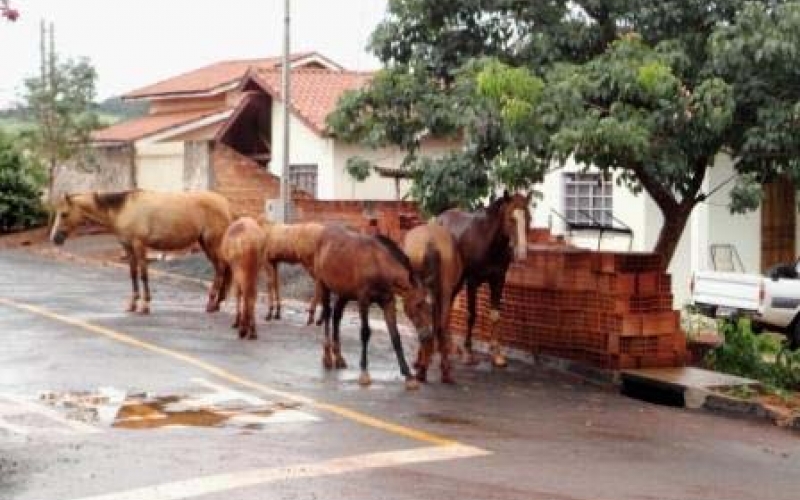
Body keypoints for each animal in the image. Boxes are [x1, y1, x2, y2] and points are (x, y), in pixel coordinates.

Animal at [50, 189, 231, 314]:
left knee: (221, 269)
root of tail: (224, 203)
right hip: (205, 244)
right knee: (221, 270)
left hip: (212, 243)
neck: (123, 210)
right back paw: (216, 303)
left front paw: (145, 305)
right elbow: (133, 274)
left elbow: (143, 274)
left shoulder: (139, 245)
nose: (54, 238)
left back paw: (211, 304)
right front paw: (132, 304)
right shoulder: (128, 248)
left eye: (64, 214)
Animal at [314, 225, 438, 388]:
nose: (427, 335)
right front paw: (364, 372)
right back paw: (327, 357)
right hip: (324, 286)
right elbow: (365, 333)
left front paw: (409, 375)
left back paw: (339, 357)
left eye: (428, 305)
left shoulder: (388, 302)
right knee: (328, 315)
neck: (378, 265)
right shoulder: (363, 300)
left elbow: (395, 336)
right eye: (418, 304)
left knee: (337, 316)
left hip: (344, 293)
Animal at [404, 221, 466, 384]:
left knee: (430, 327)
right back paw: (445, 372)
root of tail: (431, 243)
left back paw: (423, 371)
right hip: (444, 290)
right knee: (440, 326)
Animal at [438, 191, 532, 368]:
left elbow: (495, 315)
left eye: (529, 217)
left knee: (449, 303)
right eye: (511, 218)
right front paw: (468, 352)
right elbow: (472, 314)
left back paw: (450, 345)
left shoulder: (498, 280)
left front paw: (497, 354)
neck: (490, 243)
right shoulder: (472, 281)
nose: (522, 253)